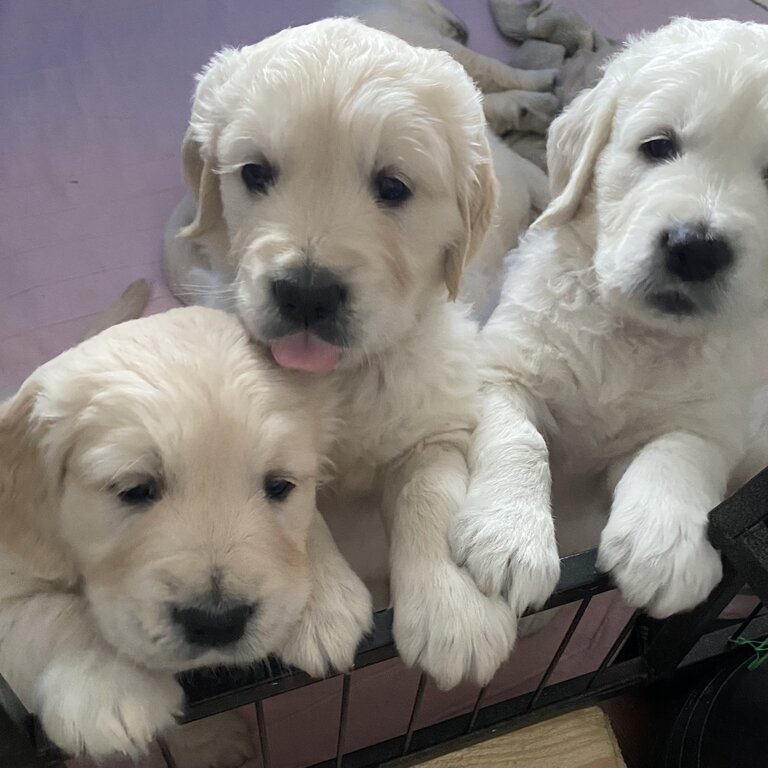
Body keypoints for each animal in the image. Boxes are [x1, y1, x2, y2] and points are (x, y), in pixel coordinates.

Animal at [0, 306, 372, 760]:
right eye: (135, 489)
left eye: (279, 485)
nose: (218, 622)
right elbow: (42, 612)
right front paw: (109, 682)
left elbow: (308, 523)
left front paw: (325, 602)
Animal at [165, 18, 520, 688]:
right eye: (255, 173)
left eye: (393, 186)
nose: (306, 292)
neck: (344, 379)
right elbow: (296, 508)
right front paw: (316, 609)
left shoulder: (433, 421)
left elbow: (430, 495)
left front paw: (455, 611)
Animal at [452, 16, 768, 632]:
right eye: (658, 146)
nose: (696, 249)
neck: (634, 333)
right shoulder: (499, 370)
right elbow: (522, 439)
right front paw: (509, 536)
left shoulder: (716, 419)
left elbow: (680, 449)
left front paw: (666, 546)